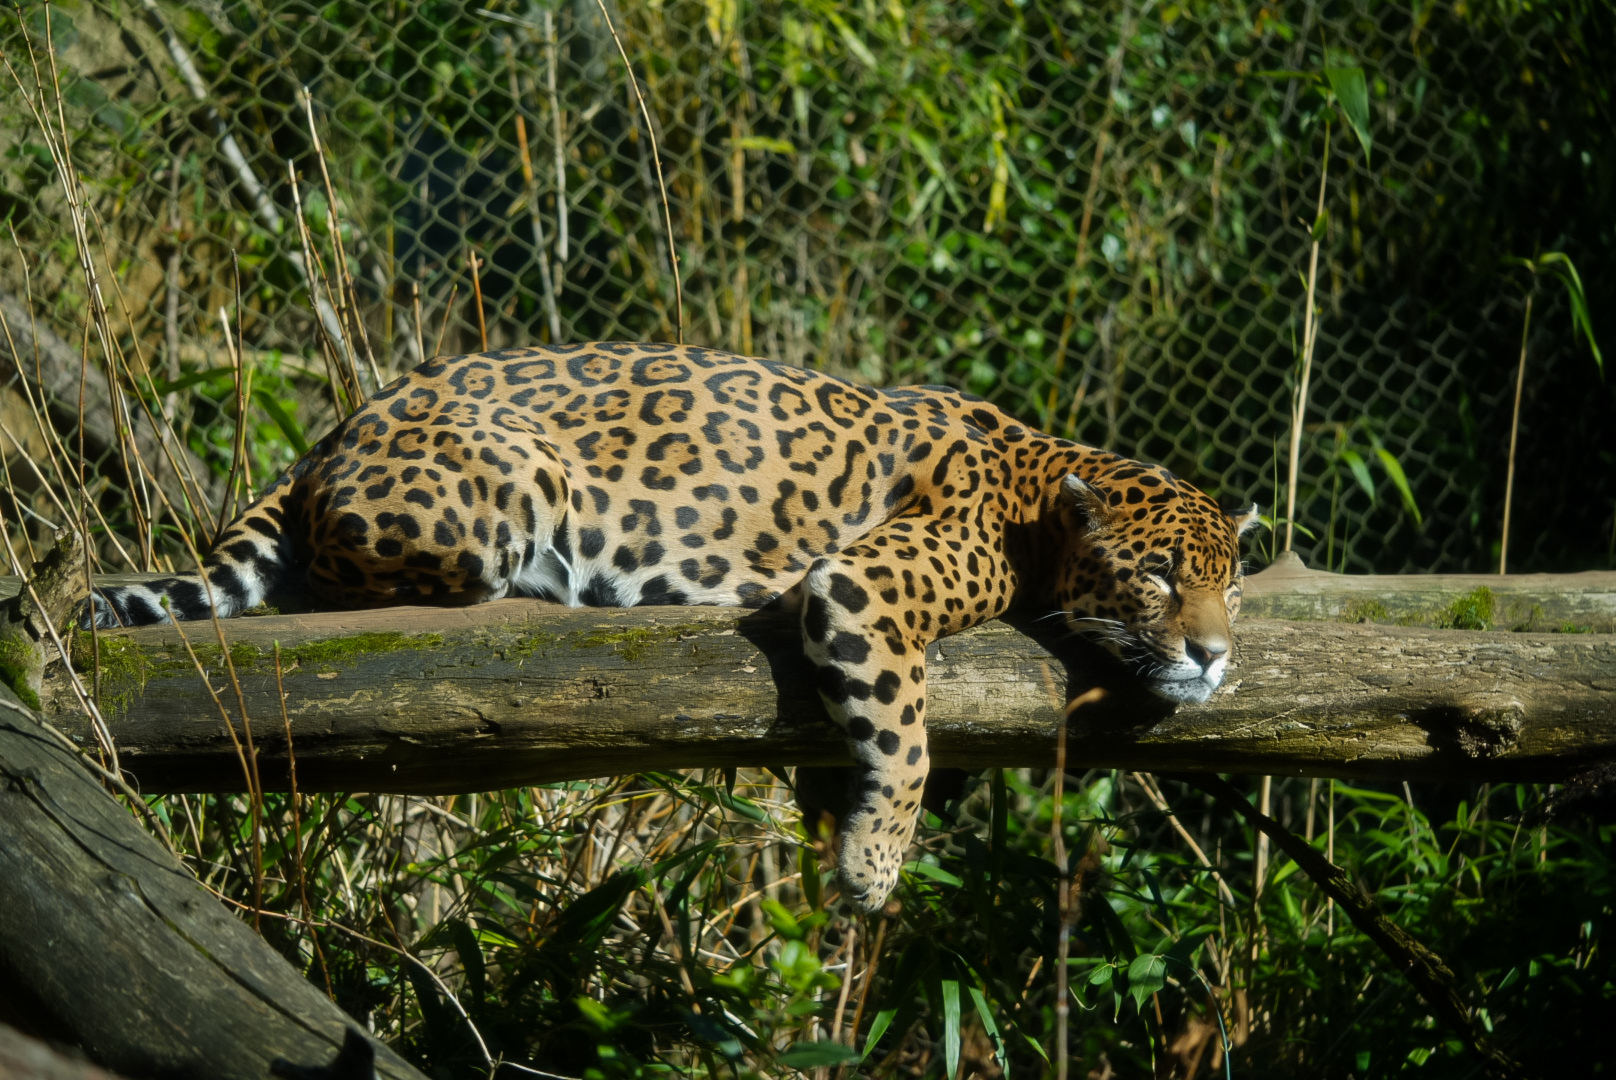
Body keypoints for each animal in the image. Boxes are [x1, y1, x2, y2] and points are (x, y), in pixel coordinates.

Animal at [86, 342, 1257, 911]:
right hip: (502, 491)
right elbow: (908, 735)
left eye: (1232, 587)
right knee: (344, 585)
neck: (1044, 492)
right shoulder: (863, 587)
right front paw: (874, 868)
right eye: (1157, 576)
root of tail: (332, 434)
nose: (1211, 653)